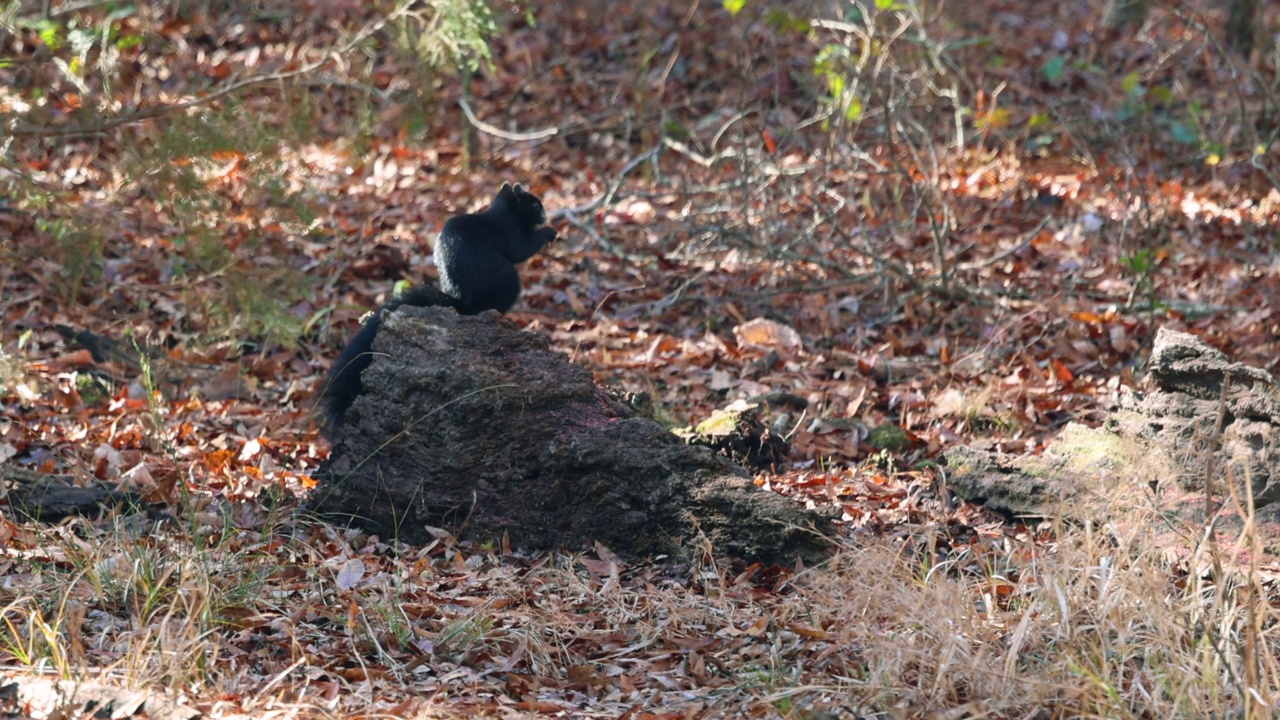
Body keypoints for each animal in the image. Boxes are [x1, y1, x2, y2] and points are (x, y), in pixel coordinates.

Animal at [317, 183, 552, 430]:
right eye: (534, 204)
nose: (546, 216)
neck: (504, 211)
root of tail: (460, 302)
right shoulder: (508, 231)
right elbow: (522, 249)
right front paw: (549, 232)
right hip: (508, 282)